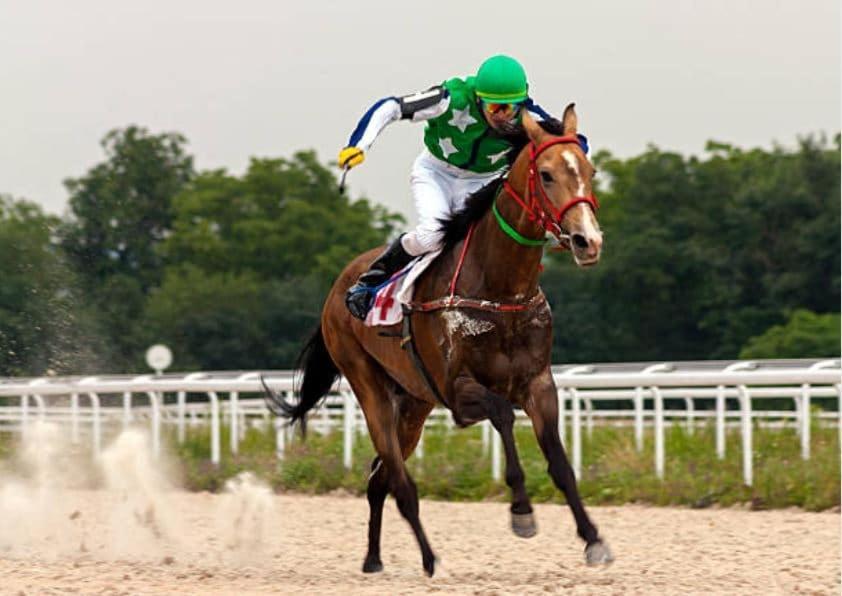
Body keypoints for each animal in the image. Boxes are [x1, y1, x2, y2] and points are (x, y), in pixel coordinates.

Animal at [266, 105, 612, 576]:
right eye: (545, 175)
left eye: (589, 171)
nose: (586, 241)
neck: (500, 288)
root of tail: (340, 286)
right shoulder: (458, 389)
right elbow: (503, 414)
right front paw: (522, 511)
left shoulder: (539, 384)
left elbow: (560, 465)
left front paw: (593, 539)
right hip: (369, 387)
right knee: (399, 482)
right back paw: (431, 560)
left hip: (414, 403)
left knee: (378, 479)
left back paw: (373, 558)